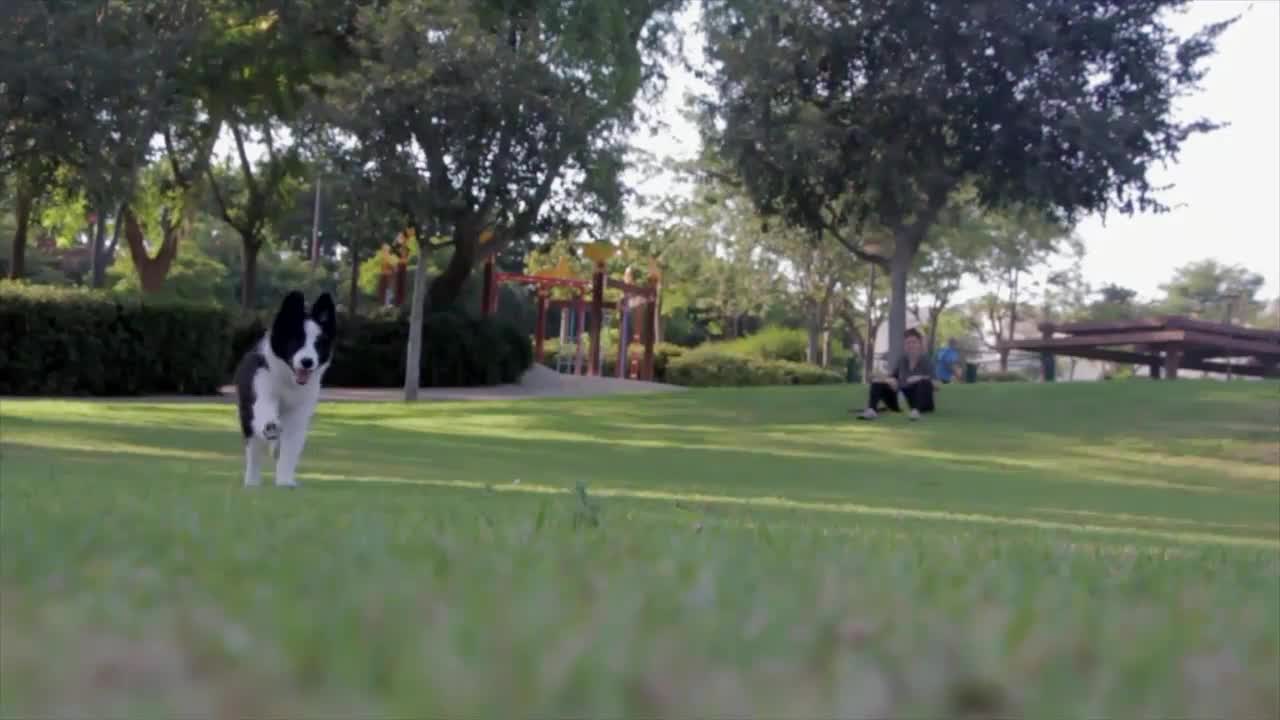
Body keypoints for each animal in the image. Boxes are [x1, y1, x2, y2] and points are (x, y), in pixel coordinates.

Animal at [234, 288, 335, 484]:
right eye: (296, 340)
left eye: (318, 344)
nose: (307, 362)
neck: (289, 380)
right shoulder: (261, 388)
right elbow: (264, 410)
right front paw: (271, 427)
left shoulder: (299, 413)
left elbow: (290, 449)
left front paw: (285, 482)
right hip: (247, 416)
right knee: (254, 451)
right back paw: (252, 482)